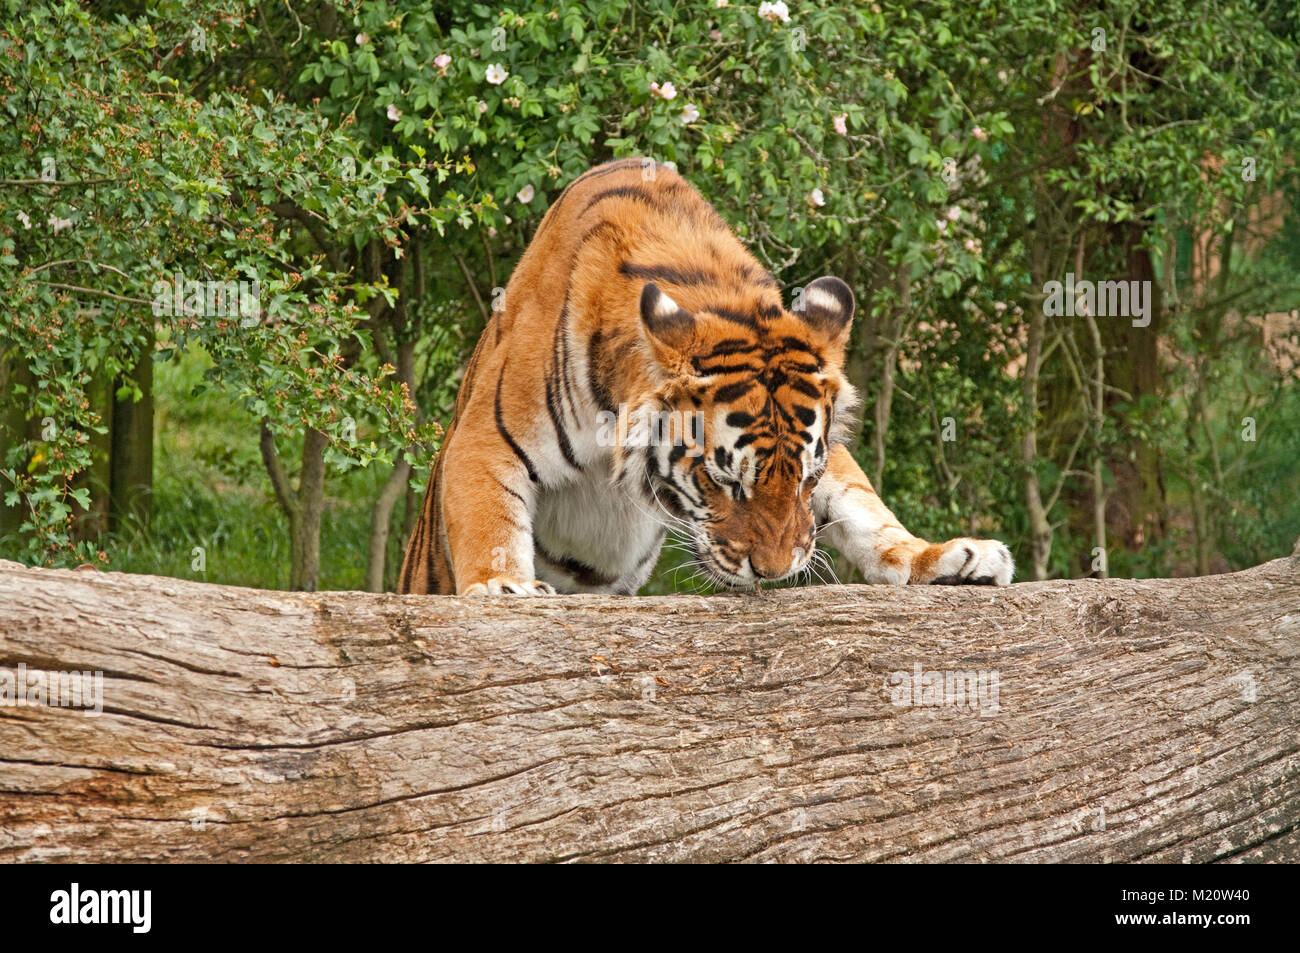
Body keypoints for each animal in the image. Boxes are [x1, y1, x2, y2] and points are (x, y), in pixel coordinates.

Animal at [397, 157, 1013, 595]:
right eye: (725, 482)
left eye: (807, 480)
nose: (773, 573)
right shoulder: (486, 437)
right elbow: (490, 519)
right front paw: (505, 587)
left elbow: (864, 506)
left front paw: (941, 558)